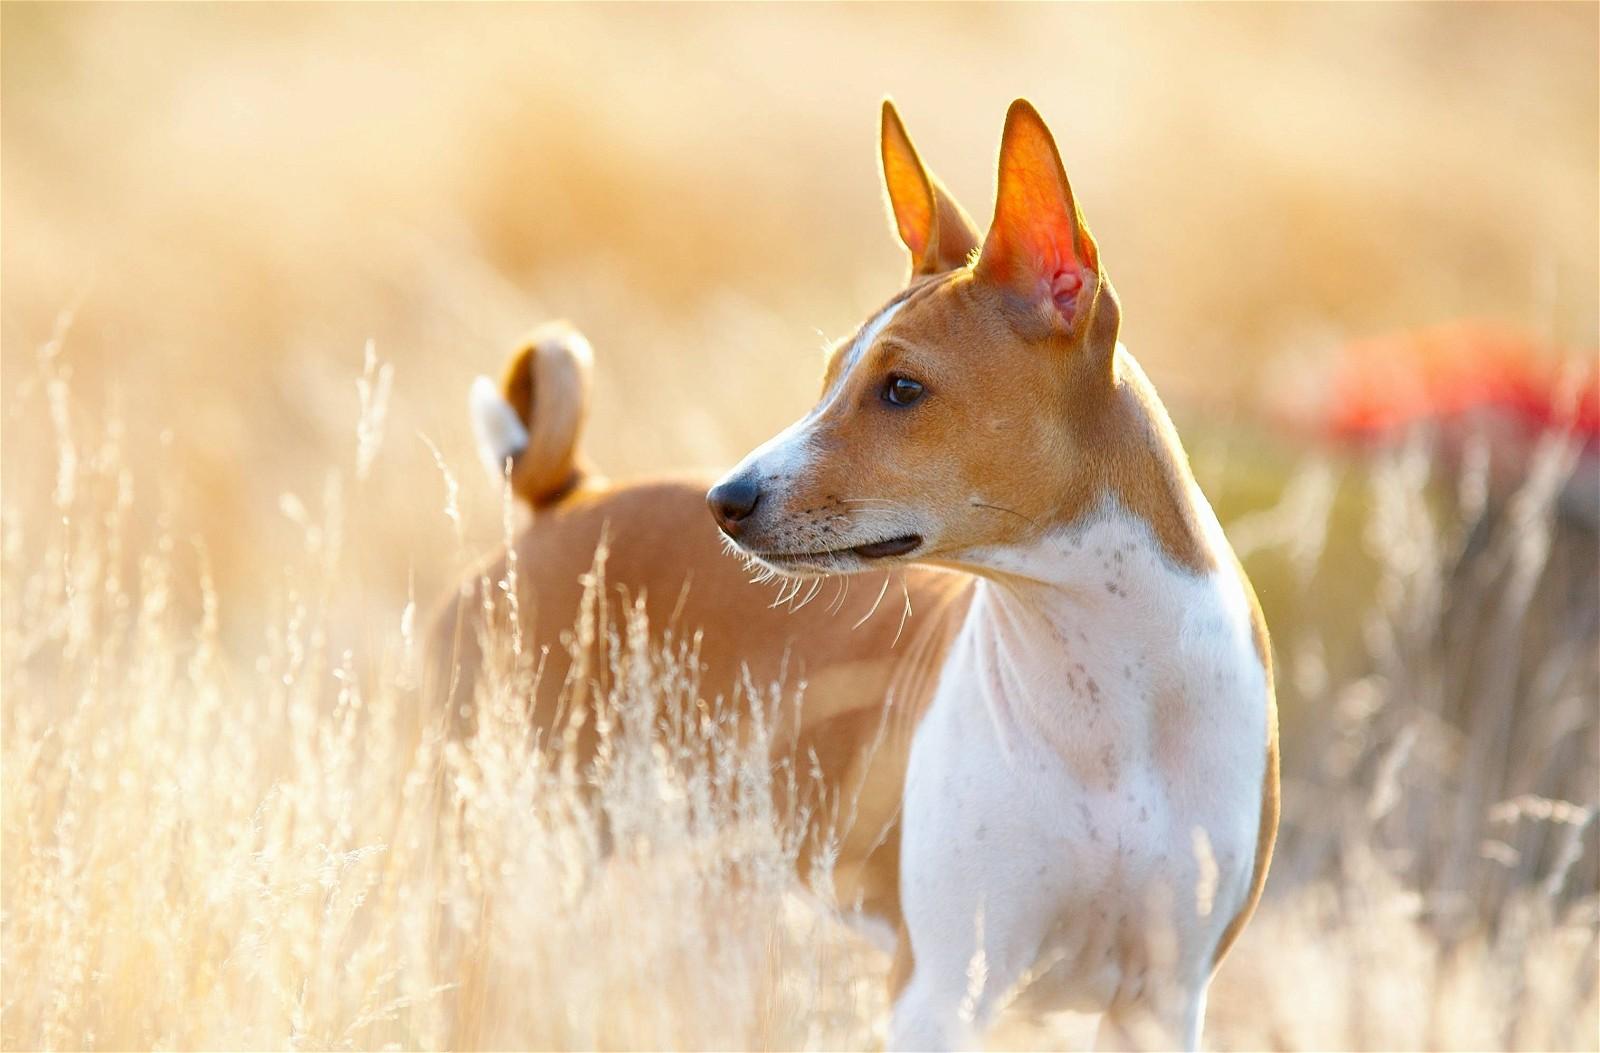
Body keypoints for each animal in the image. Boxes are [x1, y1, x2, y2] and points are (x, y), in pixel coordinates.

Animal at [435, 100, 1273, 1049]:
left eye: (902, 388)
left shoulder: (1162, 999)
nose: (726, 498)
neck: (1108, 699)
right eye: (832, 373)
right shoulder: (940, 988)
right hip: (506, 855)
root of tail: (567, 498)